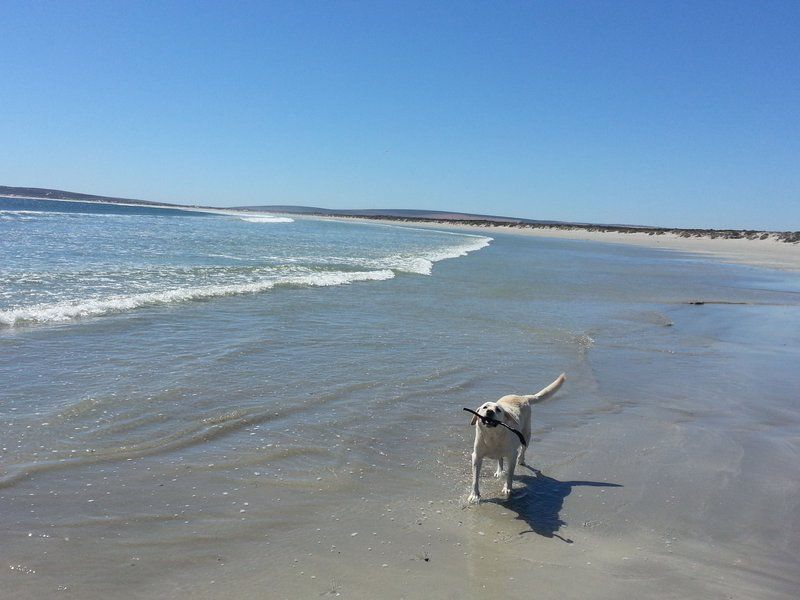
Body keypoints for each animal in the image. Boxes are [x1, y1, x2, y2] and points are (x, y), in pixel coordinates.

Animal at [466, 372, 564, 504]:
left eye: (498, 410)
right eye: (485, 407)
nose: (490, 412)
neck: (492, 436)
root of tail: (523, 397)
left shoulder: (511, 455)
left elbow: (510, 475)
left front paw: (507, 489)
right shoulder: (477, 456)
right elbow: (475, 478)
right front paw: (474, 495)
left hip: (526, 435)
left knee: (522, 450)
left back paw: (521, 460)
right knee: (500, 458)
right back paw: (499, 471)